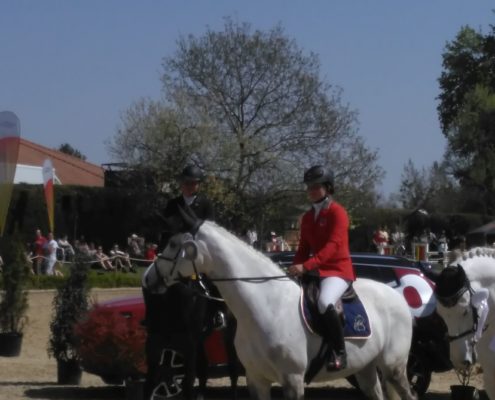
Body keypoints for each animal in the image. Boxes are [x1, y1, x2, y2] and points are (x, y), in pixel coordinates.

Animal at [157, 216, 416, 400]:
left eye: (173, 244)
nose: (151, 278)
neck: (267, 305)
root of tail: (397, 295)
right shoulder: (256, 379)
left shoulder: (292, 380)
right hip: (365, 368)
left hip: (393, 368)